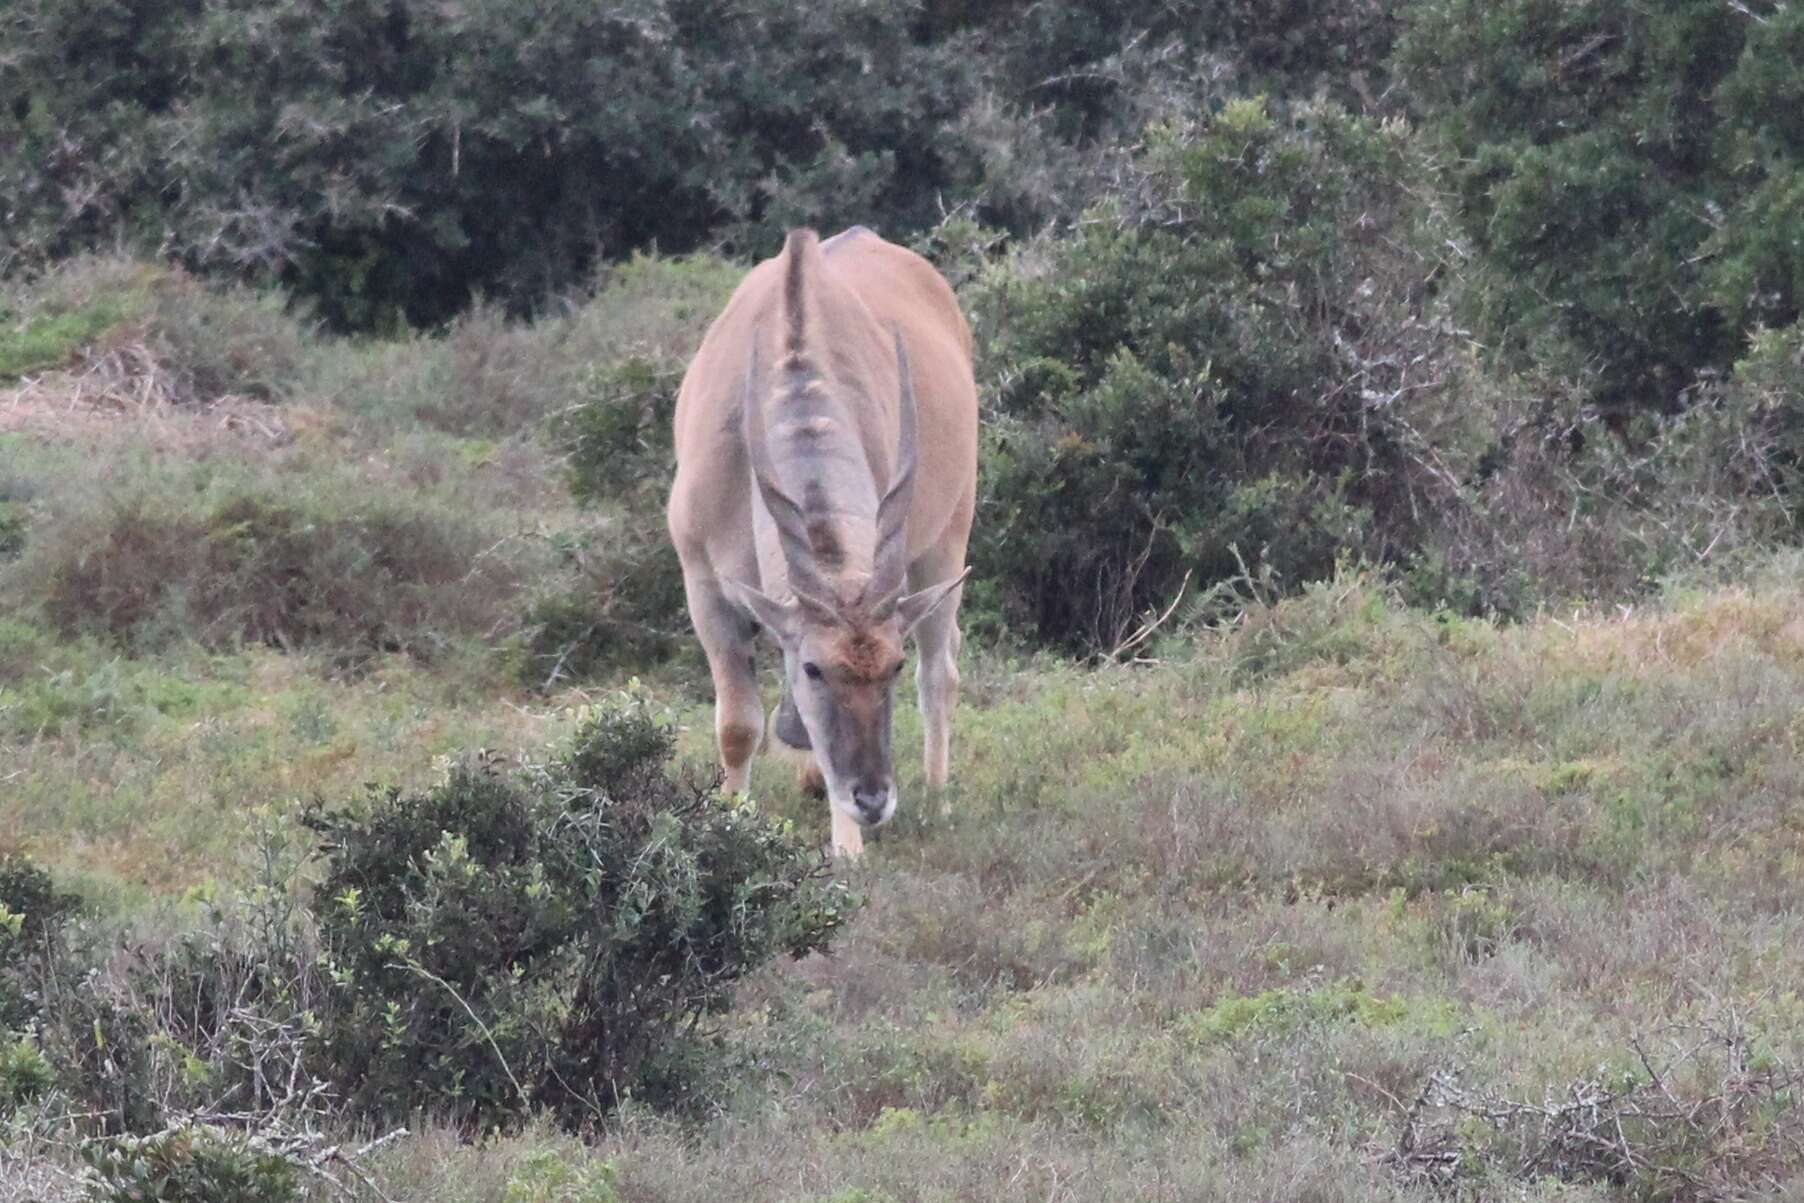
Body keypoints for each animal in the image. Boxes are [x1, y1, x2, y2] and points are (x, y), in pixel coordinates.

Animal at [663, 225, 974, 854]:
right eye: (814, 669)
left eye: (892, 666)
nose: (873, 799)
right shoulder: (702, 583)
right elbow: (738, 724)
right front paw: (732, 820)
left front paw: (847, 848)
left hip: (950, 536)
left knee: (942, 671)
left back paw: (936, 799)